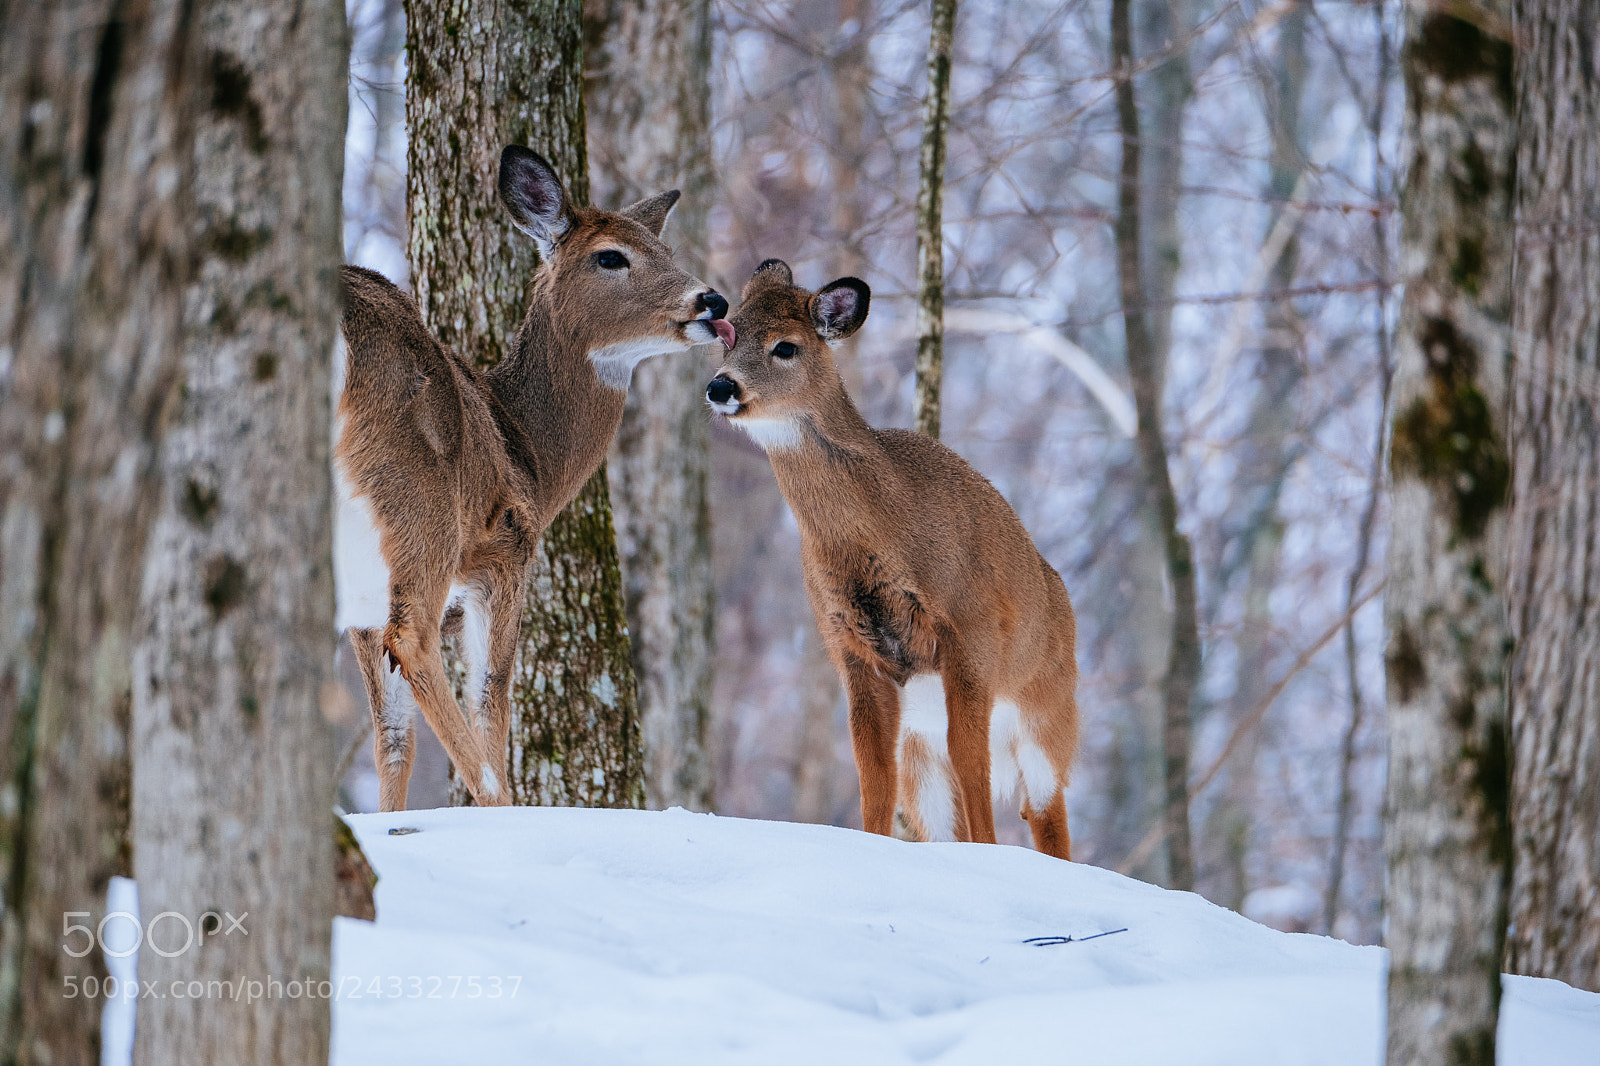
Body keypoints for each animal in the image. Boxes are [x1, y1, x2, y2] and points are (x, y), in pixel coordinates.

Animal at [335, 146, 734, 812]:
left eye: (666, 250)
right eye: (610, 256)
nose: (713, 302)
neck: (528, 452)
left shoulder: (363, 590)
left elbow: (392, 738)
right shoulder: (505, 550)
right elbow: (492, 697)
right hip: (416, 498)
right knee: (415, 639)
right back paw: (498, 800)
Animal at [705, 260, 1078, 859]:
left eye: (785, 347)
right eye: (727, 335)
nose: (721, 386)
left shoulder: (972, 627)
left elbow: (972, 762)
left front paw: (987, 852)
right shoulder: (850, 648)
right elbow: (872, 772)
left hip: (1050, 708)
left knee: (1045, 808)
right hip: (923, 746)